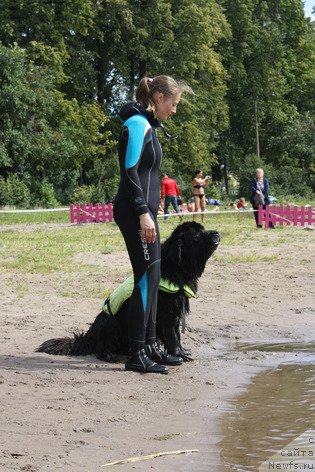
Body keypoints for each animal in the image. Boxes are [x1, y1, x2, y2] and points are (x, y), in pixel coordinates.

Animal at [37, 221, 220, 362]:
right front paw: (179, 355)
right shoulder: (166, 315)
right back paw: (110, 356)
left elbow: (177, 335)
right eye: (198, 234)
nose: (217, 232)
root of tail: (87, 338)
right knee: (103, 348)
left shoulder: (176, 312)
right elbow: (172, 337)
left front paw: (181, 352)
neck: (177, 267)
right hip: (111, 322)